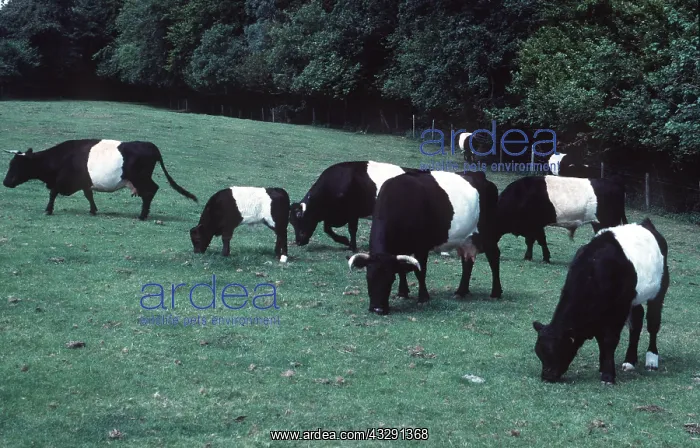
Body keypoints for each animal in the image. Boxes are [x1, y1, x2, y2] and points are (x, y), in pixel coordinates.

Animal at [2, 139, 197, 220]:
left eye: (16, 165)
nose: (5, 182)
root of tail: (151, 146)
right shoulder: (84, 183)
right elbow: (89, 195)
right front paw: (93, 210)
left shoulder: (61, 181)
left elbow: (53, 193)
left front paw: (48, 210)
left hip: (141, 178)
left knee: (150, 191)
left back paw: (142, 216)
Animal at [289, 161, 419, 252]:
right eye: (292, 222)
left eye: (300, 218)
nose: (298, 241)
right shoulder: (334, 215)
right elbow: (327, 229)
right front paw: (345, 242)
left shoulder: (352, 213)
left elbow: (352, 229)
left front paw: (352, 246)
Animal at [347, 170, 502, 315]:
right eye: (368, 277)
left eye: (390, 279)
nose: (378, 309)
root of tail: (480, 176)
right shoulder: (400, 250)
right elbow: (402, 269)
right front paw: (403, 292)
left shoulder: (421, 247)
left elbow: (420, 271)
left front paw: (423, 298)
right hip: (465, 239)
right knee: (467, 262)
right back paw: (461, 291)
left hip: (488, 234)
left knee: (494, 257)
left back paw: (495, 293)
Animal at [497, 175, 627, 263]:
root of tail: (615, 184)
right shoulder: (533, 226)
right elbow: (533, 241)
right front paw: (530, 257)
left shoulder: (535, 225)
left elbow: (538, 240)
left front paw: (543, 258)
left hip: (608, 221)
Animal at [532, 218, 670, 385]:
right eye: (539, 352)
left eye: (559, 349)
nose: (547, 376)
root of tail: (646, 223)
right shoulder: (601, 312)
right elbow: (601, 340)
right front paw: (603, 367)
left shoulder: (619, 309)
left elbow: (610, 340)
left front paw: (608, 376)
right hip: (635, 298)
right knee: (637, 321)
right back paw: (629, 361)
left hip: (659, 289)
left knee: (653, 323)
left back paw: (652, 360)